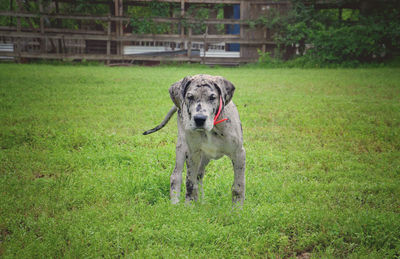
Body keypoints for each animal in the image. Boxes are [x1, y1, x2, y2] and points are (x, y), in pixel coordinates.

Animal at [142, 74, 245, 206]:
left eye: (212, 97)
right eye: (190, 97)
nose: (199, 119)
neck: (212, 128)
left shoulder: (239, 154)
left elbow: (238, 187)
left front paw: (237, 209)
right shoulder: (192, 154)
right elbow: (190, 184)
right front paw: (189, 207)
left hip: (204, 157)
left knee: (199, 176)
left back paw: (201, 202)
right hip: (182, 147)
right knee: (176, 176)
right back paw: (175, 203)